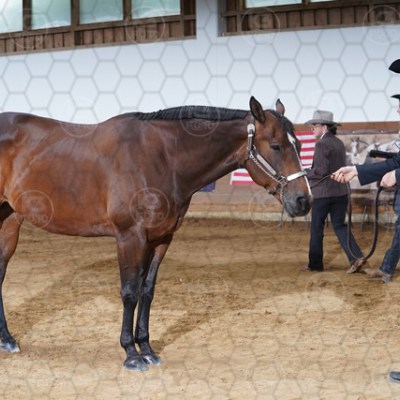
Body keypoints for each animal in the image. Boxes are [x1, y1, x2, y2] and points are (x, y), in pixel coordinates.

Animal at [0, 96, 312, 371]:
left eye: (298, 144)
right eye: (276, 146)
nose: (303, 201)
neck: (161, 157)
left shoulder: (161, 239)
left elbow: (147, 291)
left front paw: (147, 349)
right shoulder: (130, 237)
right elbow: (129, 292)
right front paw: (131, 354)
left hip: (10, 223)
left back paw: (7, 340)